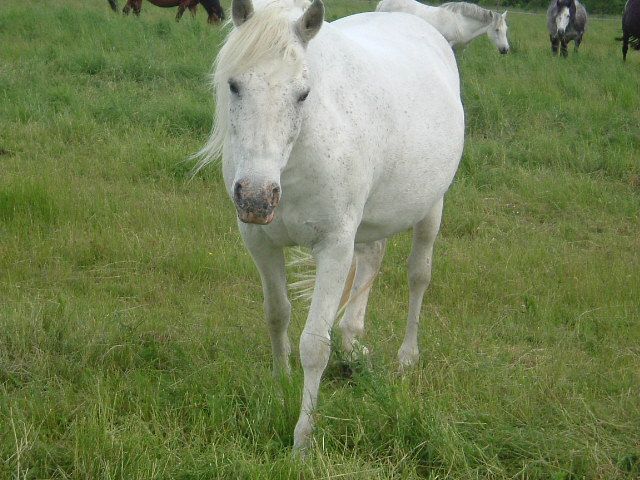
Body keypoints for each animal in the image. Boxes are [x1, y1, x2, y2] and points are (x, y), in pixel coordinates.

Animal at [195, 0, 464, 454]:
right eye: (233, 85)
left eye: (303, 93)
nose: (256, 196)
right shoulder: (260, 242)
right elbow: (277, 316)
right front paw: (280, 388)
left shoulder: (334, 248)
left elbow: (314, 345)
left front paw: (302, 440)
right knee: (371, 262)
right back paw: (353, 345)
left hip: (431, 208)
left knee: (418, 276)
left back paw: (407, 357)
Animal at [376, 0, 510, 54]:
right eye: (497, 30)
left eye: (506, 30)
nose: (505, 49)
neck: (462, 24)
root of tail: (383, 2)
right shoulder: (449, 44)